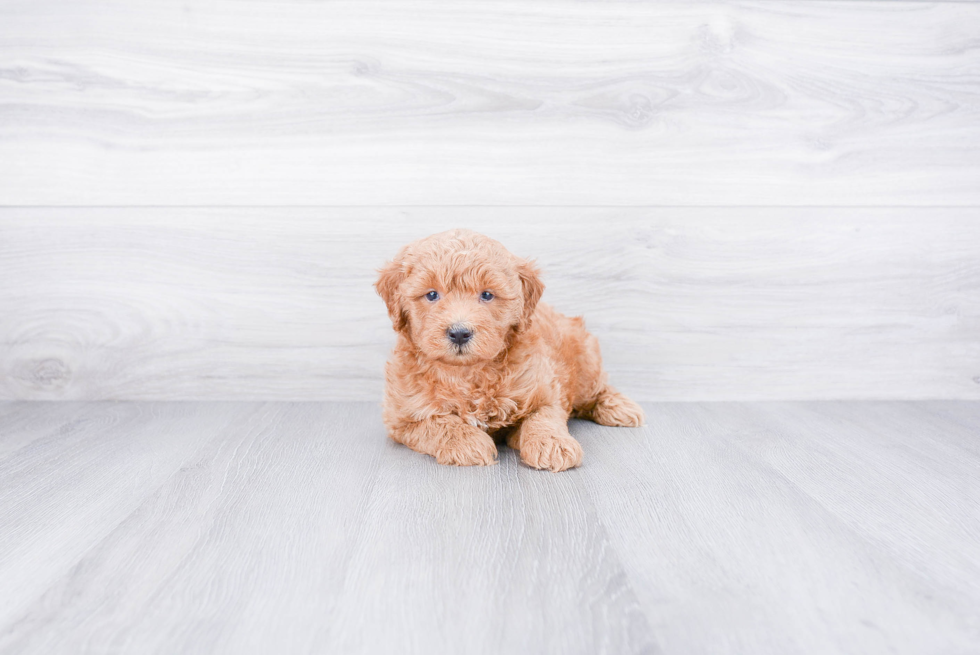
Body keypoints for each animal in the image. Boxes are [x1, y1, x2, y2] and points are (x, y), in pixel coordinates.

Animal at [376, 231, 644, 472]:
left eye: (487, 295)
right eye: (432, 295)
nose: (459, 333)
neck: (468, 373)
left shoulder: (544, 390)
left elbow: (543, 417)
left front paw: (552, 445)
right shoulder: (403, 417)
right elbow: (439, 423)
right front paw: (468, 442)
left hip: (585, 363)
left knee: (597, 389)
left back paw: (620, 407)